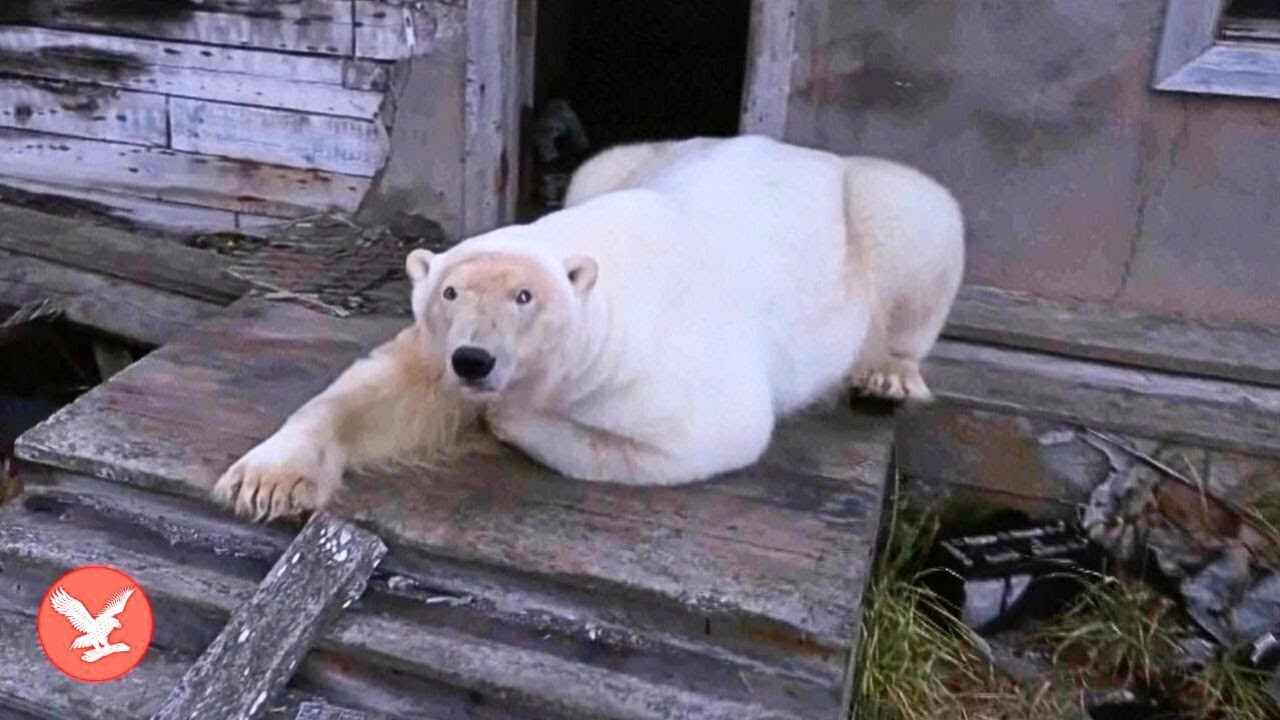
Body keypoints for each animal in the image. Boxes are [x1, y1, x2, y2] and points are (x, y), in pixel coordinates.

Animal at [212, 134, 964, 520]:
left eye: (524, 295)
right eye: (450, 291)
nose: (474, 361)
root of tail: (811, 152)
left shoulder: (657, 369)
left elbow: (690, 437)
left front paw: (510, 419)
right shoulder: (434, 347)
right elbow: (381, 393)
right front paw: (265, 480)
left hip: (875, 209)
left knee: (919, 215)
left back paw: (886, 373)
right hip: (615, 164)